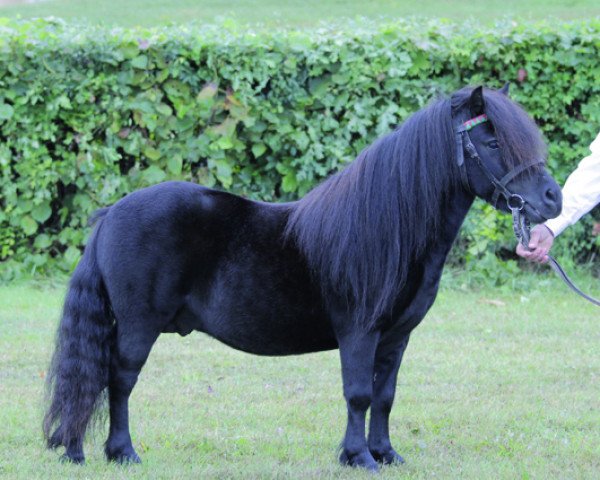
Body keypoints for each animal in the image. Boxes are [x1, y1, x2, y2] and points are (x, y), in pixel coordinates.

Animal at [43, 85, 564, 468]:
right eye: (492, 141)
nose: (553, 198)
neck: (389, 225)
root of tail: (111, 213)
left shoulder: (396, 337)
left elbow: (384, 395)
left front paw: (385, 453)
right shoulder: (359, 332)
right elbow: (358, 394)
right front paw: (358, 458)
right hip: (138, 326)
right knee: (115, 380)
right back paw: (119, 453)